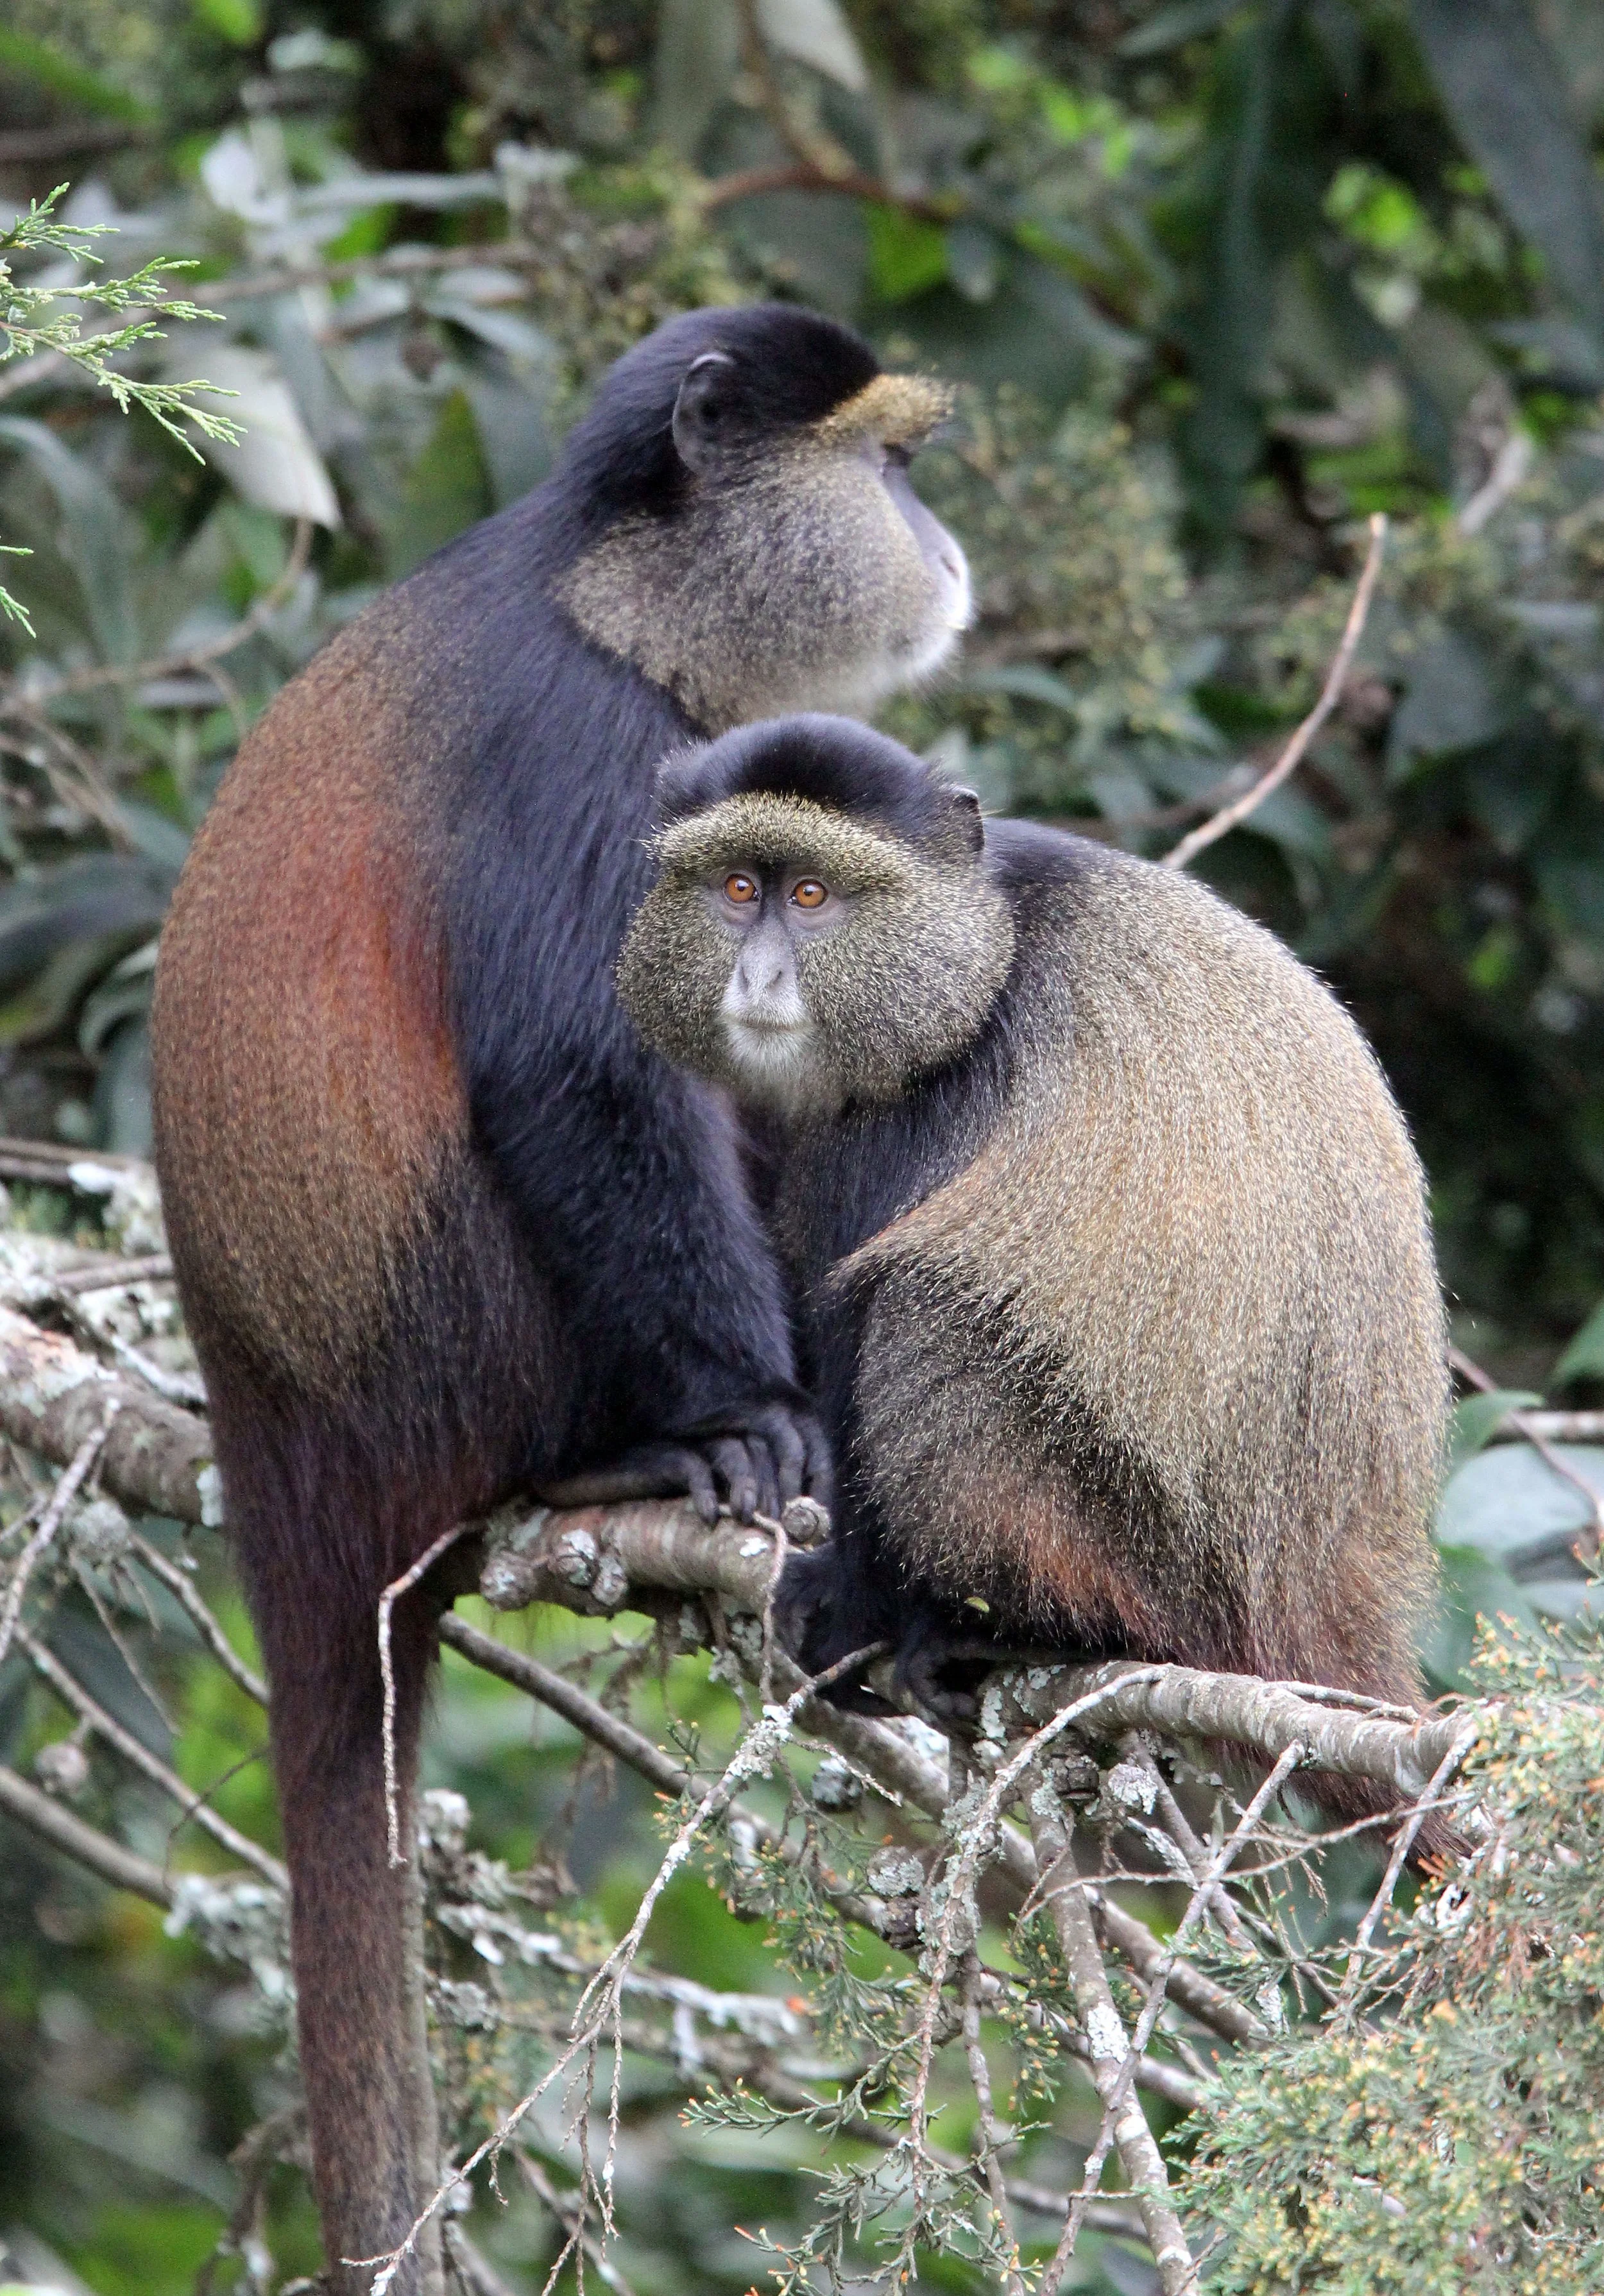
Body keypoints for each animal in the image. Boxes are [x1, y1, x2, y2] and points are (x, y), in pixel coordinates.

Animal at [149, 311, 971, 2295]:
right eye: (892, 463)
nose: (940, 538)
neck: (607, 599)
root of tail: (283, 1464)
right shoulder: (601, 764)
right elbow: (589, 1076)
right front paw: (750, 1418)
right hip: (457, 1355)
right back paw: (629, 1461)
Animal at [616, 713, 1452, 1844]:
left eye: (813, 896)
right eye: (739, 887)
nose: (758, 980)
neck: (986, 945)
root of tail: (1318, 1608)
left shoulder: (931, 1108)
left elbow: (861, 1311)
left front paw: (850, 1605)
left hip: (1145, 1557)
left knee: (930, 1316)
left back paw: (1029, 1633)